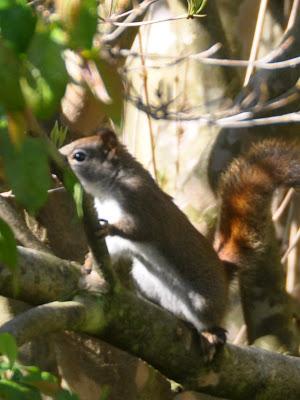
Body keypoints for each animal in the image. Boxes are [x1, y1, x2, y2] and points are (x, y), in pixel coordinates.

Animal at [61, 129, 230, 350]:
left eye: (79, 156)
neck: (108, 190)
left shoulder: (140, 200)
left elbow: (141, 229)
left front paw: (110, 227)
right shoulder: (115, 235)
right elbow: (111, 249)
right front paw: (88, 261)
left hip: (203, 302)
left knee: (209, 321)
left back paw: (211, 333)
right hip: (144, 282)